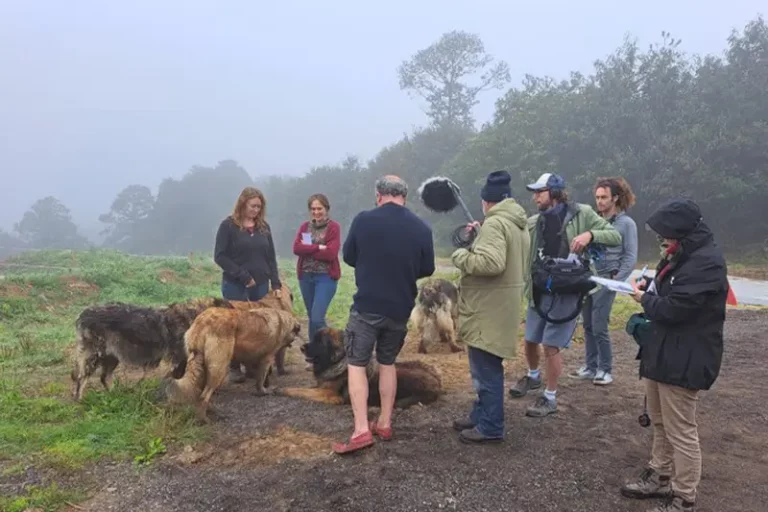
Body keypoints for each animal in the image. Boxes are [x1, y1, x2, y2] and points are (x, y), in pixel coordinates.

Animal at [70, 296, 232, 400]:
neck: (196, 316)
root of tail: (83, 314)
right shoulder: (178, 359)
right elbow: (178, 379)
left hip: (111, 357)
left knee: (104, 377)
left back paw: (116, 395)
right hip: (94, 356)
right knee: (81, 378)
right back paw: (80, 400)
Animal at [166, 306, 302, 422]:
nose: (293, 343)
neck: (281, 320)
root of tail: (202, 322)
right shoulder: (266, 359)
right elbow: (261, 379)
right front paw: (263, 391)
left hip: (205, 368)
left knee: (201, 394)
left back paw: (214, 412)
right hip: (219, 369)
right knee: (204, 396)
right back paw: (204, 419)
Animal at [276, 328, 444, 408]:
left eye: (320, 342)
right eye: (313, 339)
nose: (301, 348)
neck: (338, 362)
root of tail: (437, 382)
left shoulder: (328, 394)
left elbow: (300, 391)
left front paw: (281, 390)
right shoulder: (320, 387)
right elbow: (305, 388)